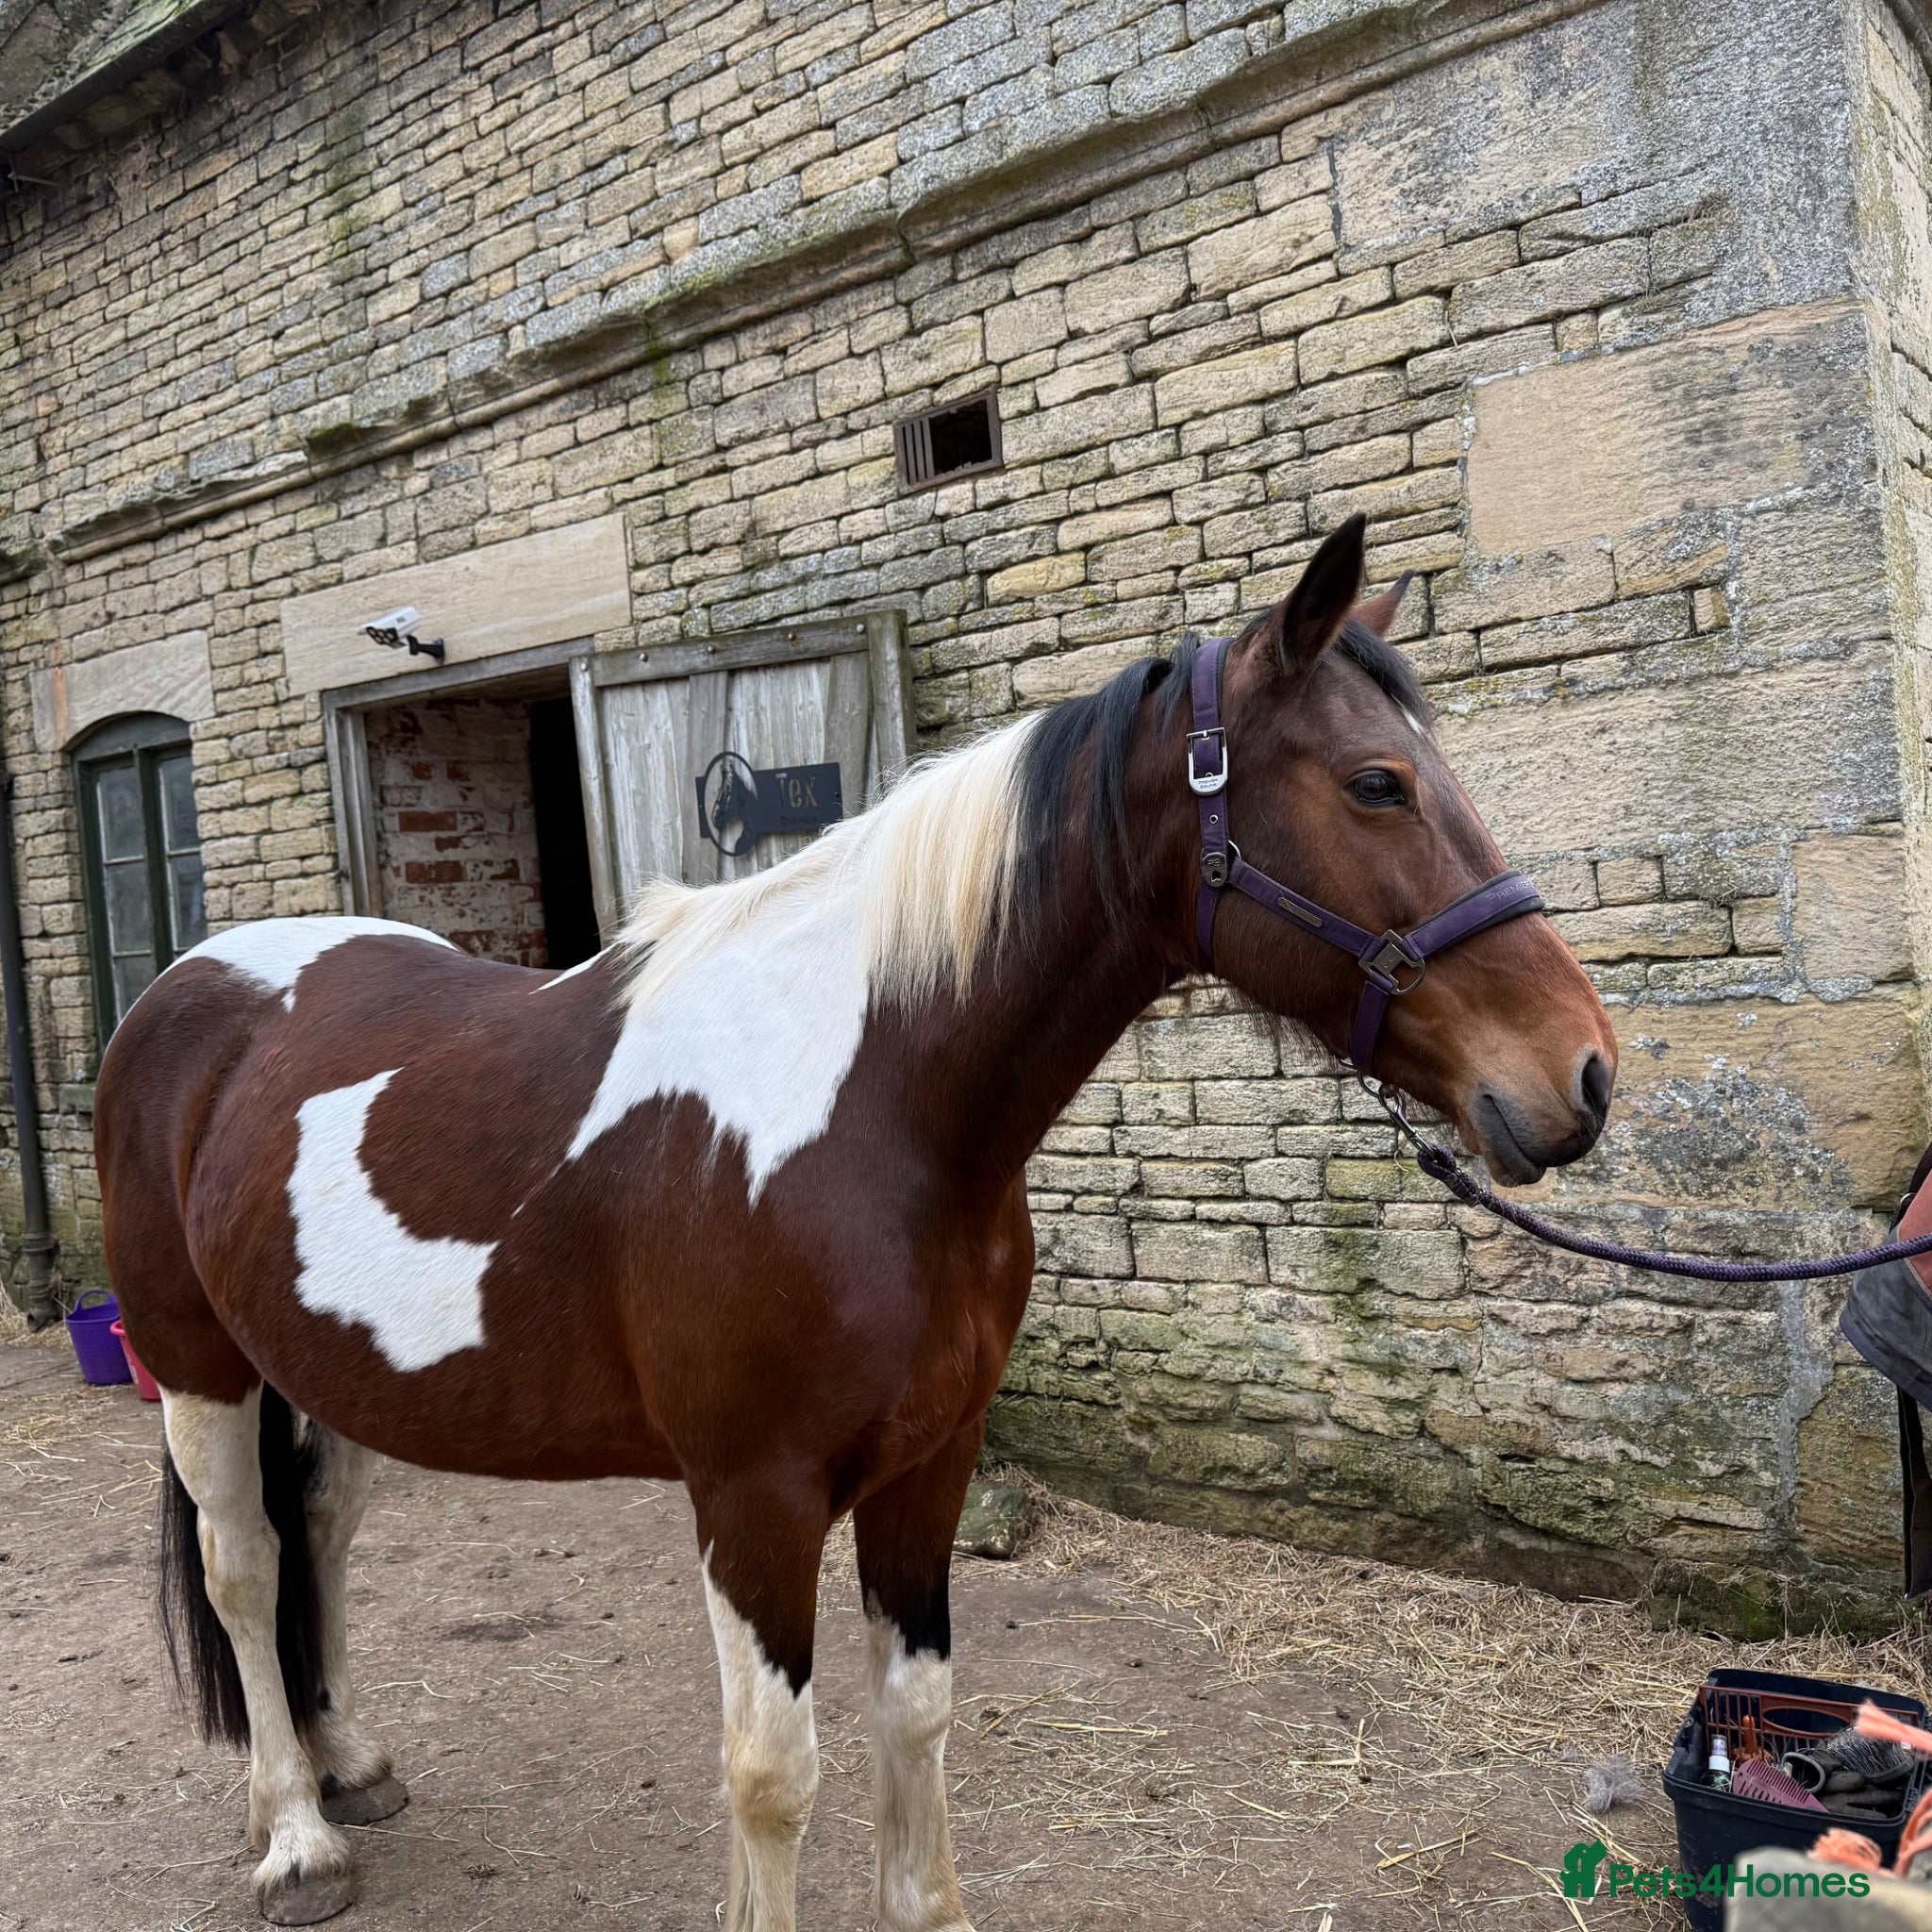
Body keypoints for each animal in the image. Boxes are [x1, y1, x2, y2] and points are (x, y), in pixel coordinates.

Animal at [96, 516, 1617, 1929]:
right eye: (1376, 783)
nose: (1582, 1075)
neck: (868, 1109)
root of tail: (186, 986)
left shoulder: (929, 1464)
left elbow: (916, 1713)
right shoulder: (751, 1499)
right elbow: (774, 1771)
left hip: (330, 1372)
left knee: (322, 1536)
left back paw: (346, 1761)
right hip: (199, 1365)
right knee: (245, 1568)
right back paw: (298, 1835)